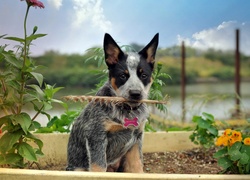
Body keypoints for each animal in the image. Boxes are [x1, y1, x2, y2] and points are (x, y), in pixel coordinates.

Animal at [66, 32, 158, 173]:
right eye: (123, 76)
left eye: (143, 75)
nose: (136, 93)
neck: (127, 111)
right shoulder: (96, 136)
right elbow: (99, 167)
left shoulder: (137, 138)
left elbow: (137, 166)